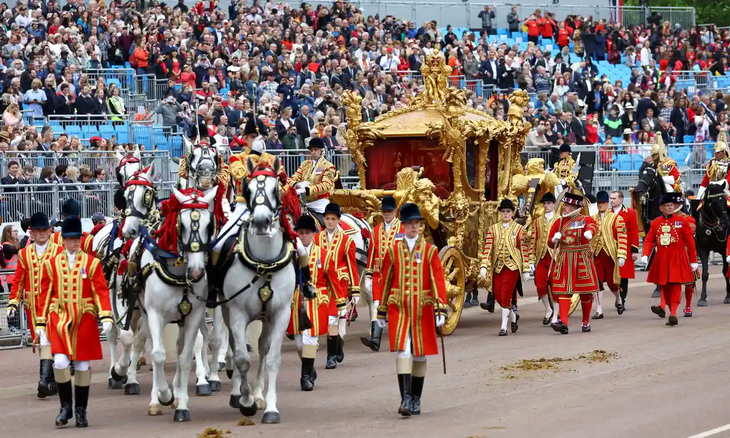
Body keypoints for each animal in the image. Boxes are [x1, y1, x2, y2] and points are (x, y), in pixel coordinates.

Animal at [136, 186, 216, 420]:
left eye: (209, 225)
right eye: (183, 224)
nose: (196, 272)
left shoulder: (194, 316)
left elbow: (185, 357)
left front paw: (181, 404)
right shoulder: (155, 314)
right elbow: (159, 355)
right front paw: (164, 395)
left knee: (181, 348)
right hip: (145, 313)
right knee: (152, 345)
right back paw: (156, 399)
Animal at [223, 158, 298, 424]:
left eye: (276, 188)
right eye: (249, 189)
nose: (261, 222)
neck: (264, 263)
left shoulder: (280, 313)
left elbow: (272, 358)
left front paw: (270, 408)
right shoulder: (237, 313)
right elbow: (242, 359)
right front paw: (245, 401)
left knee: (264, 347)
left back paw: (258, 394)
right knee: (235, 346)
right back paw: (239, 393)